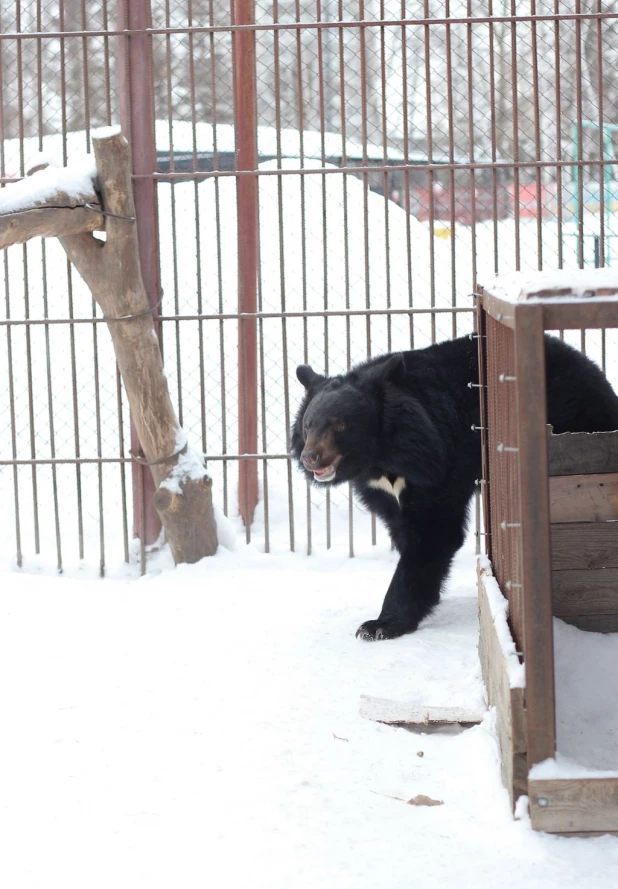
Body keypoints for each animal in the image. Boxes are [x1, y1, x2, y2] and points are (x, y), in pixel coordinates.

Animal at [292, 338, 616, 640]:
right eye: (308, 425)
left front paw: (378, 625)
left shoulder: (440, 462)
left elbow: (434, 532)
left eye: (341, 425)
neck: (381, 457)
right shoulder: (380, 489)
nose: (310, 457)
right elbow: (404, 530)